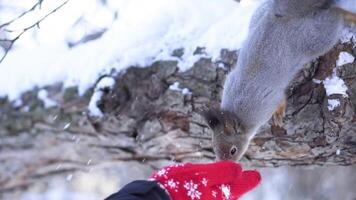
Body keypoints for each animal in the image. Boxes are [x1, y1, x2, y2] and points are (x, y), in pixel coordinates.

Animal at [203, 0, 356, 160]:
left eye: (233, 150)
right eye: (214, 148)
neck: (237, 114)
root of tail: (283, 15)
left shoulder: (266, 102)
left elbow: (280, 99)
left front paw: (278, 114)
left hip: (318, 38)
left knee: (335, 14)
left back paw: (350, 16)